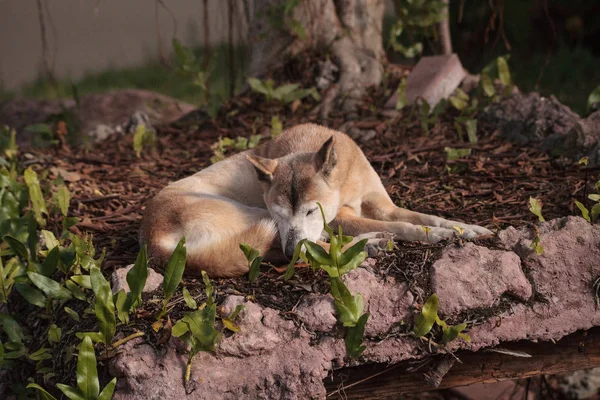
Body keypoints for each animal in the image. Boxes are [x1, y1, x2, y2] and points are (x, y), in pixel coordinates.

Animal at [139, 123, 492, 276]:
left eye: (310, 211)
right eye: (279, 213)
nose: (290, 247)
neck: (346, 183)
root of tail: (153, 242)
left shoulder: (384, 206)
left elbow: (424, 218)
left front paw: (464, 229)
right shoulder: (337, 219)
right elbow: (406, 227)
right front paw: (434, 236)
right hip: (252, 218)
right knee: (308, 250)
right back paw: (372, 243)